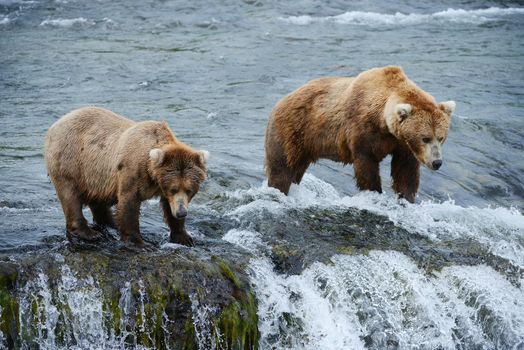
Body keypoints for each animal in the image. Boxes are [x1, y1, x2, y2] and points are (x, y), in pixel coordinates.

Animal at [44, 106, 209, 249]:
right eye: (173, 189)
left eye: (189, 190)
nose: (182, 213)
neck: (151, 173)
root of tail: (55, 124)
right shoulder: (132, 169)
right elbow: (129, 201)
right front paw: (140, 243)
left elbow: (168, 207)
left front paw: (184, 237)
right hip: (71, 159)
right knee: (70, 195)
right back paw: (90, 233)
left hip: (95, 175)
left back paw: (110, 222)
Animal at [266, 65, 454, 202]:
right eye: (425, 138)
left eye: (441, 138)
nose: (437, 162)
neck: (383, 123)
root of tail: (280, 101)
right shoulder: (362, 130)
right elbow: (366, 165)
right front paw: (375, 192)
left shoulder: (402, 144)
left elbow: (405, 171)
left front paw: (406, 198)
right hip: (293, 131)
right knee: (282, 168)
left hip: (304, 146)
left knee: (296, 170)